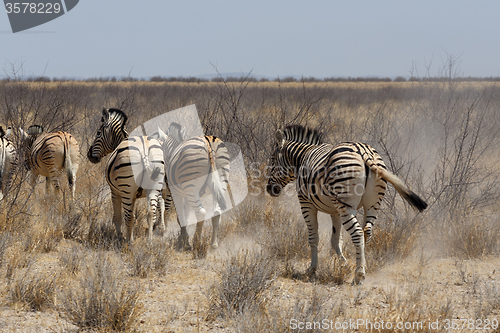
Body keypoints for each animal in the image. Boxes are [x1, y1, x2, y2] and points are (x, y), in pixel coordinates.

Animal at [88, 108, 176, 241]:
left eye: (98, 133)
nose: (89, 155)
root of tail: (144, 151)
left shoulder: (115, 191)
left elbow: (117, 217)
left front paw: (119, 237)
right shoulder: (135, 194)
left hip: (127, 189)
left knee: (130, 216)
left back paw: (129, 241)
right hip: (157, 185)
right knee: (154, 212)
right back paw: (151, 238)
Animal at [266, 124, 426, 282]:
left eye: (272, 160)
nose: (269, 189)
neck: (302, 159)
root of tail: (365, 152)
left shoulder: (306, 203)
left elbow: (314, 238)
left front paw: (312, 269)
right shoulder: (335, 210)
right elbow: (336, 240)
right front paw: (344, 263)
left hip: (346, 205)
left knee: (357, 233)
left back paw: (359, 275)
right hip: (372, 204)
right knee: (367, 231)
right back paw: (362, 266)